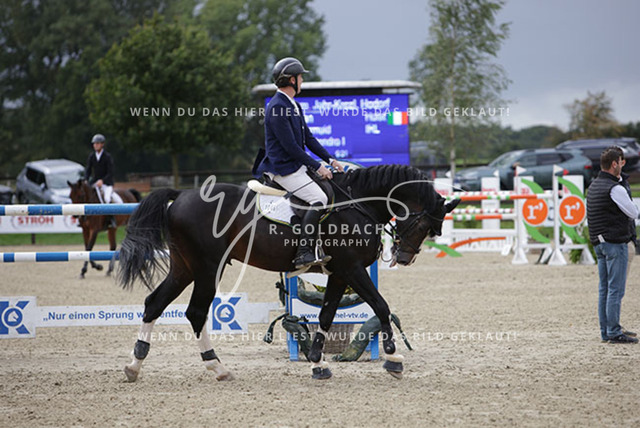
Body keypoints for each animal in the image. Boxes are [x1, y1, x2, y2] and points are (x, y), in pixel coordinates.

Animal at [117, 164, 460, 381]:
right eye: (424, 224)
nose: (404, 258)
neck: (356, 204)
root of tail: (181, 195)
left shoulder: (339, 273)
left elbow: (326, 315)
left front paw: (318, 363)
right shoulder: (352, 269)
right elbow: (381, 305)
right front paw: (393, 358)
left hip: (184, 267)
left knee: (154, 303)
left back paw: (135, 365)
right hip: (207, 267)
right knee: (196, 312)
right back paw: (217, 367)